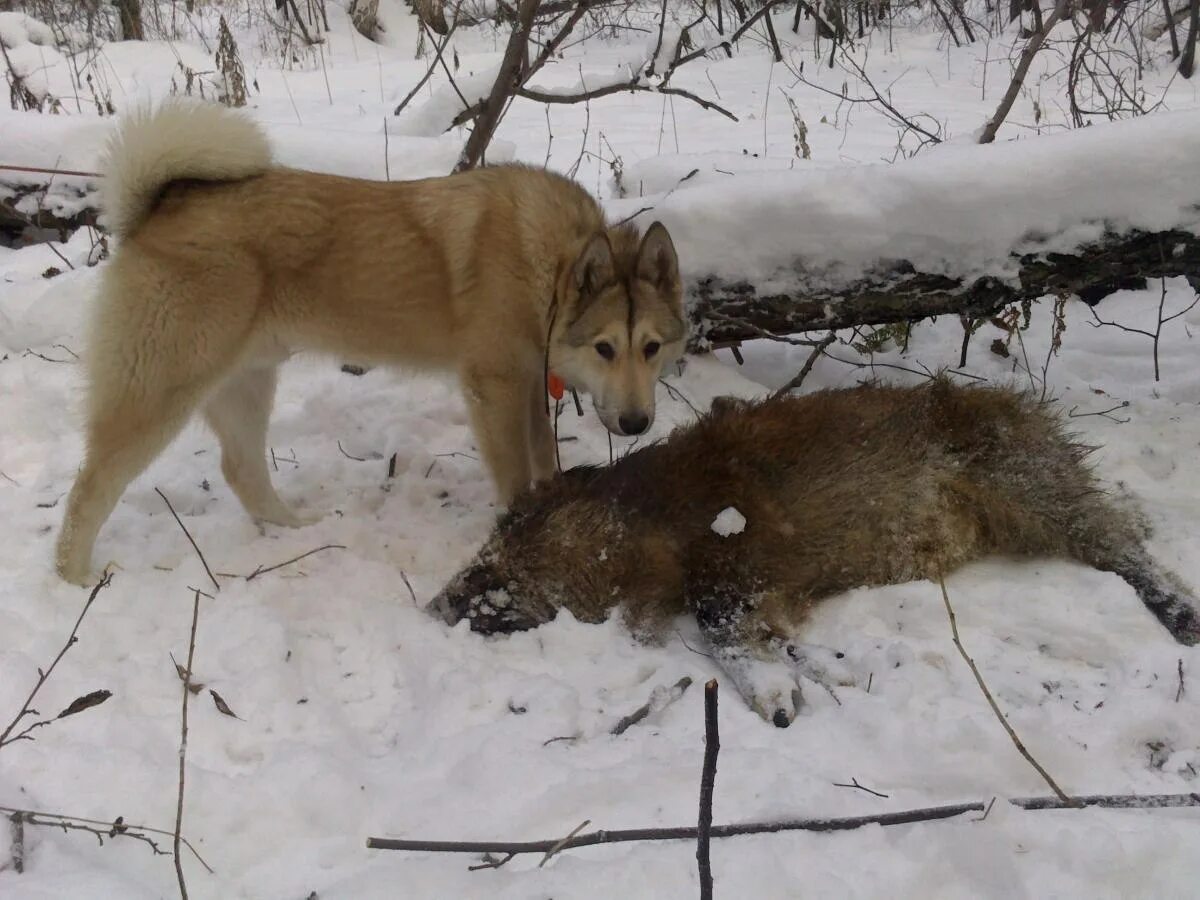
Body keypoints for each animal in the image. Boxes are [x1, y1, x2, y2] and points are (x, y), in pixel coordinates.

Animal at [56, 100, 691, 585]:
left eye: (651, 348)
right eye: (605, 348)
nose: (636, 424)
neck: (551, 269)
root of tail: (157, 209)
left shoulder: (529, 385)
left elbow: (544, 461)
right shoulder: (495, 389)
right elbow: (516, 474)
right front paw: (520, 529)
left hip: (247, 383)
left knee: (241, 468)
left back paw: (296, 530)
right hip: (158, 394)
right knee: (89, 489)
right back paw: (76, 579)